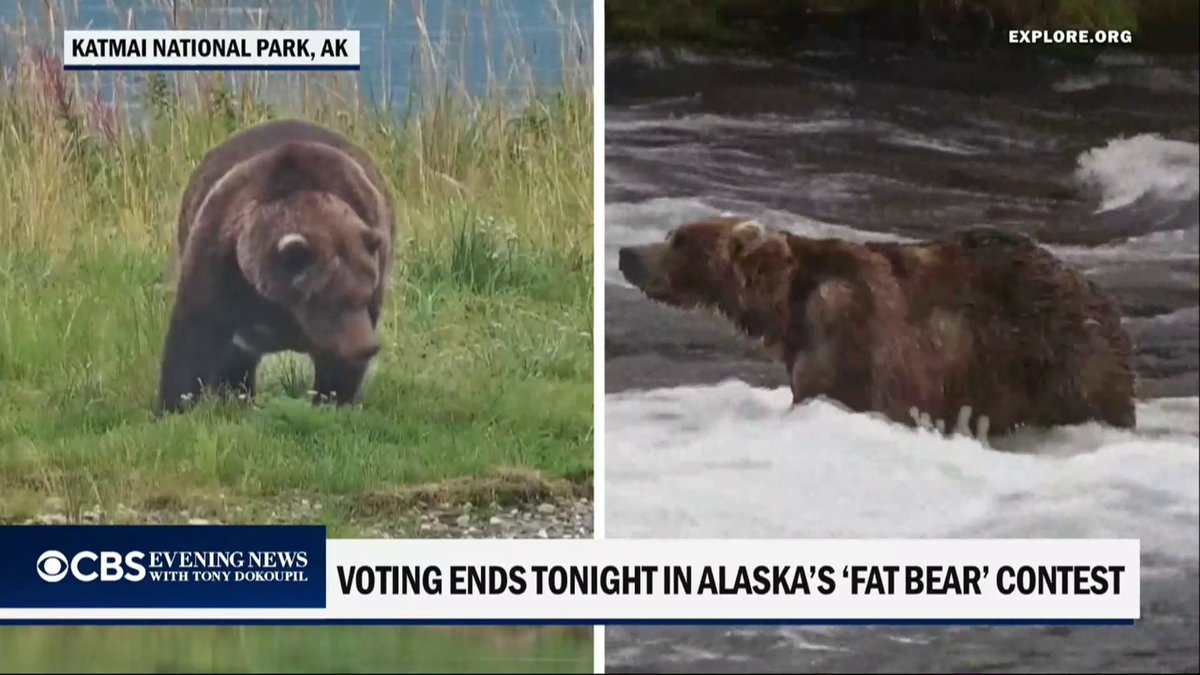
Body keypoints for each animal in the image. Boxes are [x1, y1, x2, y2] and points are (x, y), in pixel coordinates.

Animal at [156, 118, 396, 415]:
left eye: (366, 294)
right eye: (335, 299)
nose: (367, 347)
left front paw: (332, 400)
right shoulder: (219, 260)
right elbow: (195, 333)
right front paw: (173, 405)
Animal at [617, 217, 1137, 438]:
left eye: (679, 239)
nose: (626, 253)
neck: (787, 304)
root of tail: (1104, 296)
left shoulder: (847, 330)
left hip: (1064, 357)